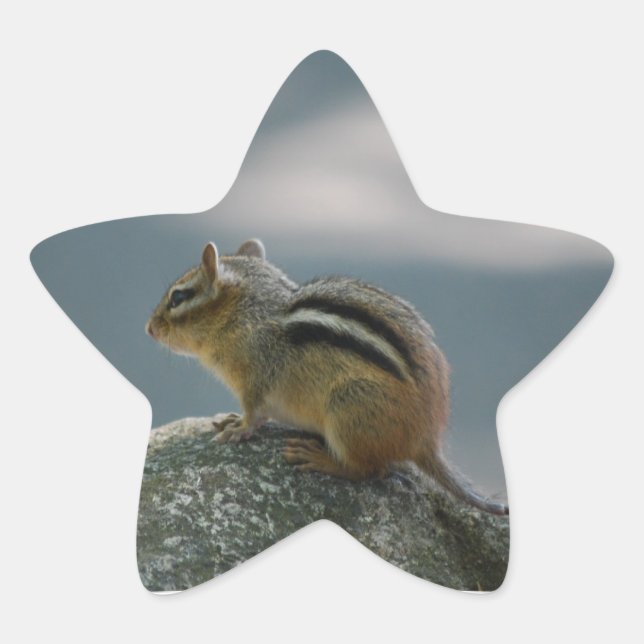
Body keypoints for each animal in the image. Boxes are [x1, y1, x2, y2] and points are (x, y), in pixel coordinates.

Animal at [146, 239, 508, 516]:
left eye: (178, 297)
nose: (149, 328)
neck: (247, 314)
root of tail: (426, 439)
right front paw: (230, 419)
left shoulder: (254, 380)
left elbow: (254, 413)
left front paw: (239, 427)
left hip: (348, 409)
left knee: (370, 470)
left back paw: (319, 459)